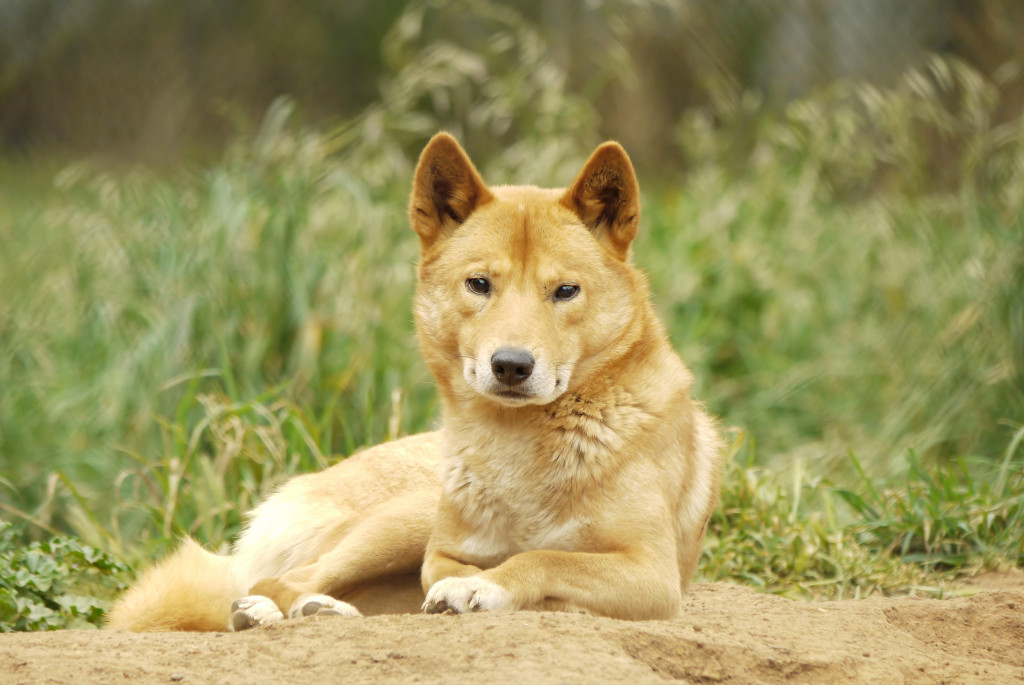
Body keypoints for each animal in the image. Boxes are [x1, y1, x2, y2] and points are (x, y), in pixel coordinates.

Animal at [105, 133, 720, 630]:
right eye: (479, 284)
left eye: (565, 291)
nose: (511, 365)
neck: (520, 449)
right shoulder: (440, 549)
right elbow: (464, 565)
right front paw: (472, 582)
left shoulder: (652, 575)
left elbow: (540, 557)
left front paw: (484, 587)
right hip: (404, 517)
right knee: (281, 580)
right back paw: (283, 611)